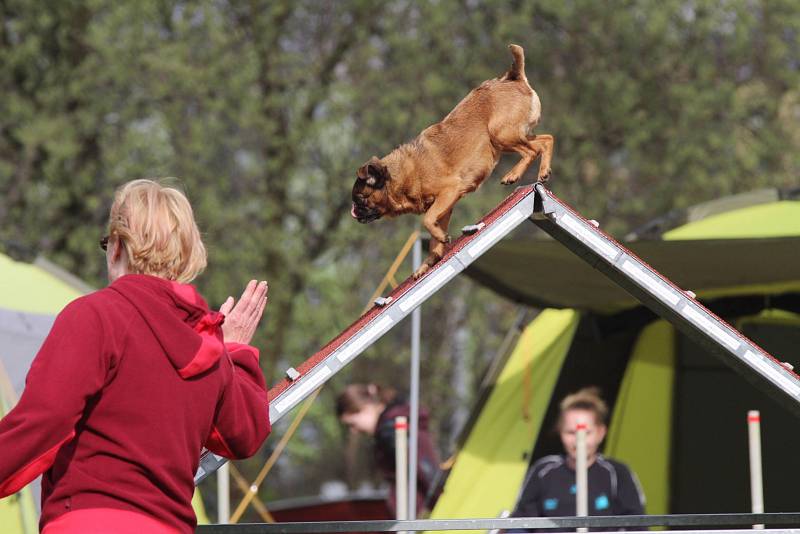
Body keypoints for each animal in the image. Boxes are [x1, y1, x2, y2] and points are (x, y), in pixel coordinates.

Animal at [354, 44, 552, 278]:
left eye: (360, 199)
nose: (354, 212)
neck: (401, 176)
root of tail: (514, 78)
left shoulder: (449, 192)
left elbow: (427, 220)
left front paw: (440, 241)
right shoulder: (445, 207)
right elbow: (433, 236)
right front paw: (430, 260)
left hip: (501, 134)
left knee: (532, 151)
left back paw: (513, 174)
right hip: (517, 134)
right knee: (546, 140)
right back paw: (543, 172)